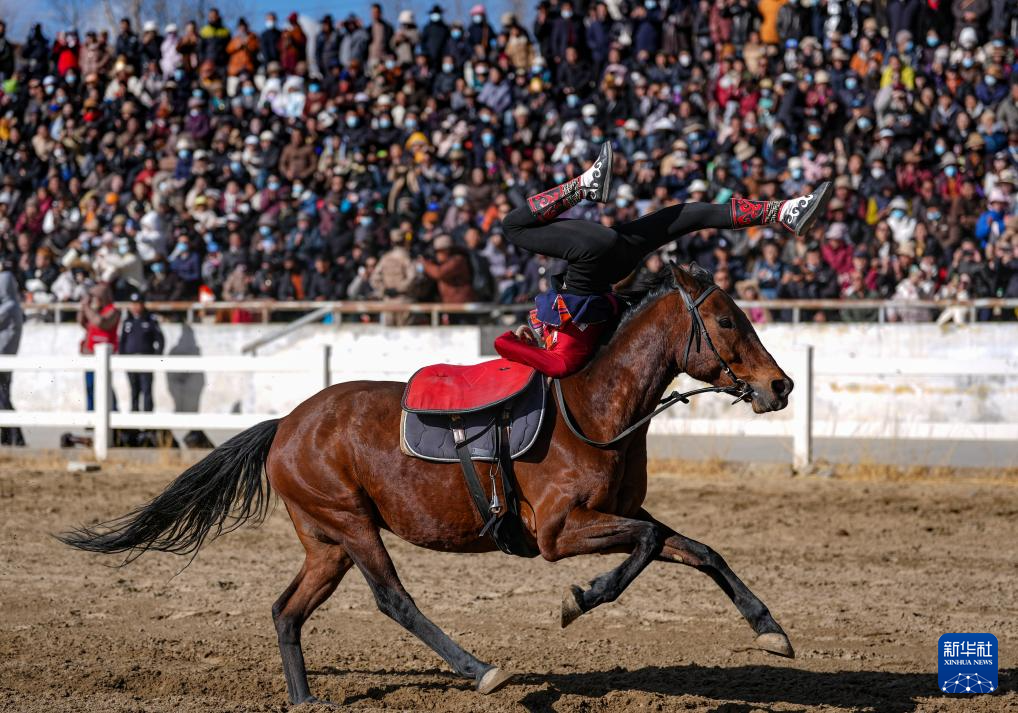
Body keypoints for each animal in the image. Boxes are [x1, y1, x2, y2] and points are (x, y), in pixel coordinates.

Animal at [61, 262, 794, 708]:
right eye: (727, 320)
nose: (780, 384)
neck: (592, 407)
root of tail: (286, 424)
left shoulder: (618, 512)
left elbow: (698, 550)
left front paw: (769, 627)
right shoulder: (560, 532)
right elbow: (641, 547)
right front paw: (580, 598)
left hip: (327, 542)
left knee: (287, 609)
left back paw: (304, 697)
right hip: (352, 524)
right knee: (394, 599)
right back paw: (481, 669)